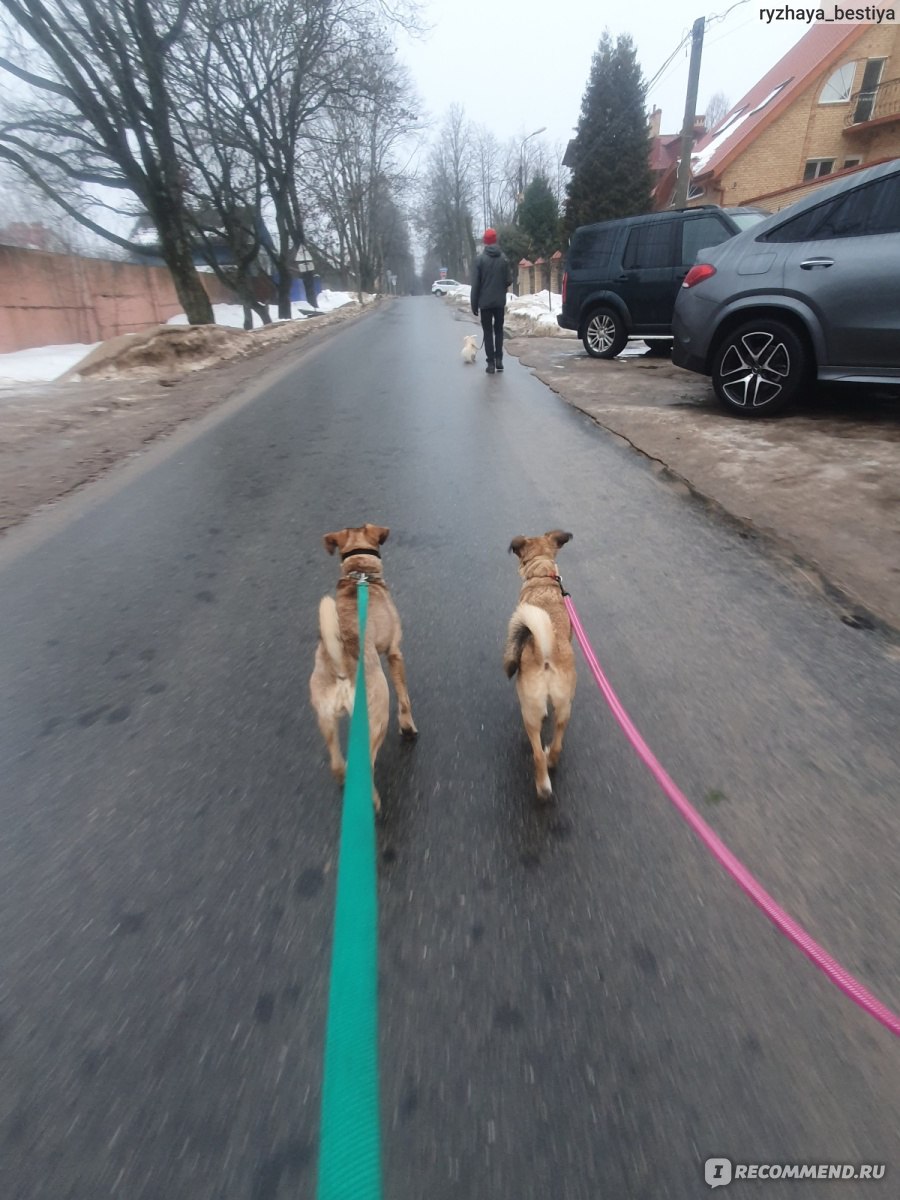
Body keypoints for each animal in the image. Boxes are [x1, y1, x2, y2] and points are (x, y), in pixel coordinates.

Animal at [309, 523, 420, 811]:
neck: (360, 575)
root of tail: (341, 665)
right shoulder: (395, 653)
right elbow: (405, 698)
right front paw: (408, 728)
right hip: (377, 713)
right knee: (365, 765)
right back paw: (372, 802)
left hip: (325, 719)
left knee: (338, 764)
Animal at [501, 530, 578, 801]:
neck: (542, 578)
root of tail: (545, 654)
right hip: (565, 707)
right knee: (557, 745)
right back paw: (551, 762)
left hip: (529, 713)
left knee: (536, 753)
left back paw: (543, 787)